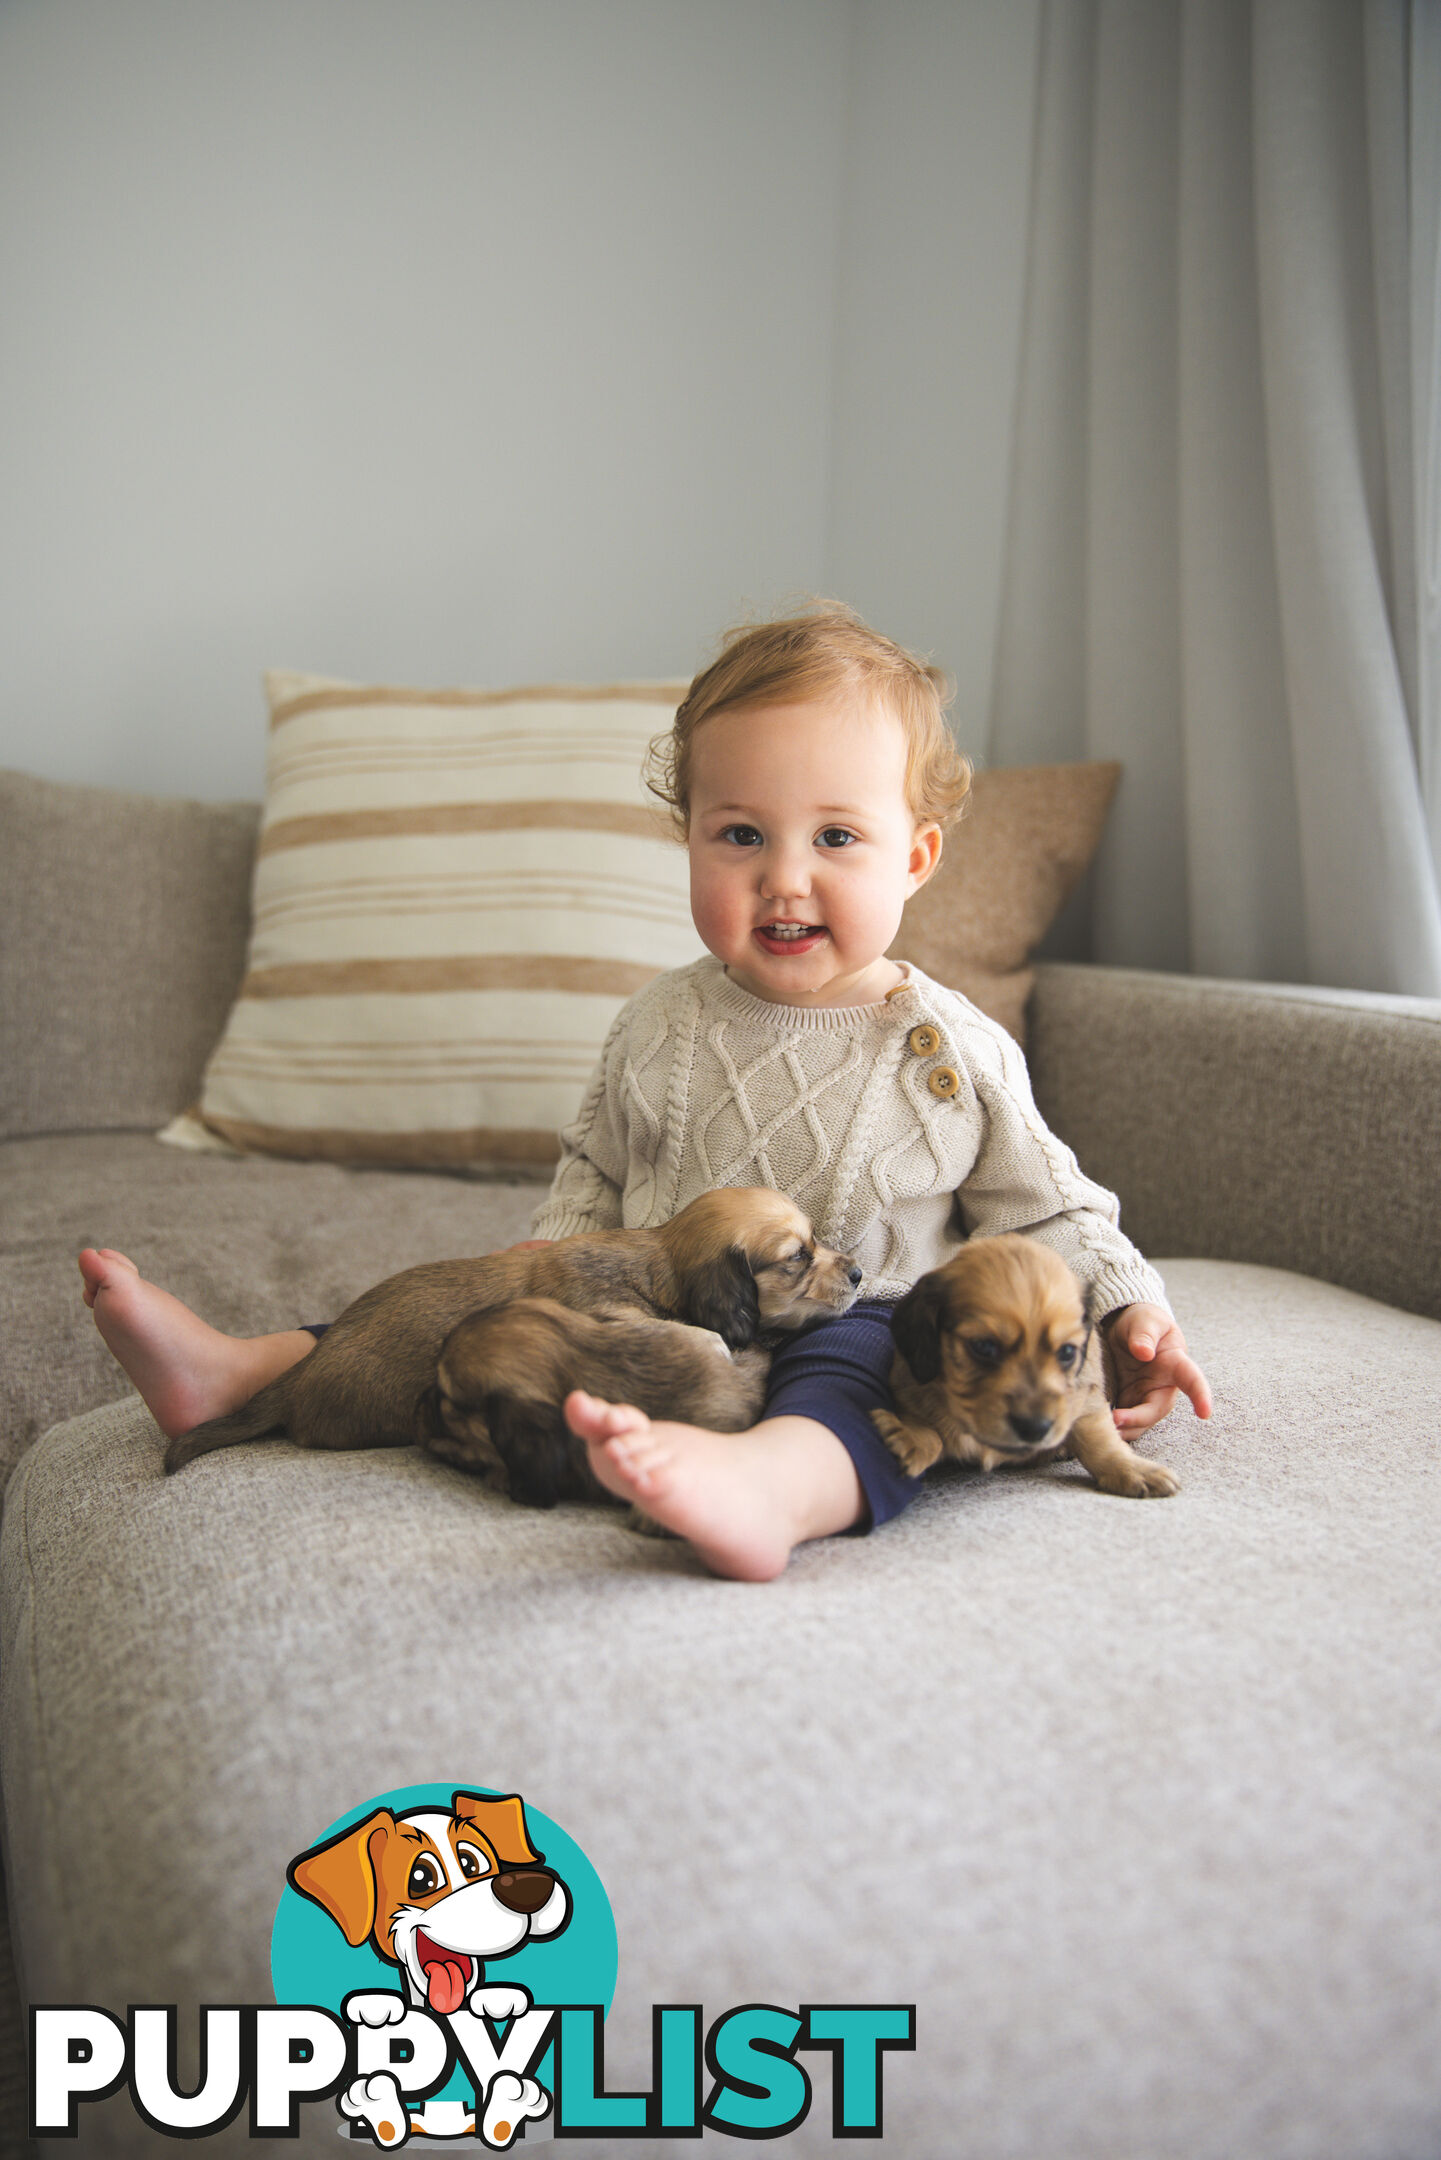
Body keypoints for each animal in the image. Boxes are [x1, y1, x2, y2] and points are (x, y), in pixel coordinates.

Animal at [872, 1235, 1175, 1503]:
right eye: (984, 1347)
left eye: (1067, 1352)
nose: (1035, 1429)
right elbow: (928, 1428)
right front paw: (909, 1437)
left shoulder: (1087, 1398)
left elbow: (1099, 1439)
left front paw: (1134, 1470)